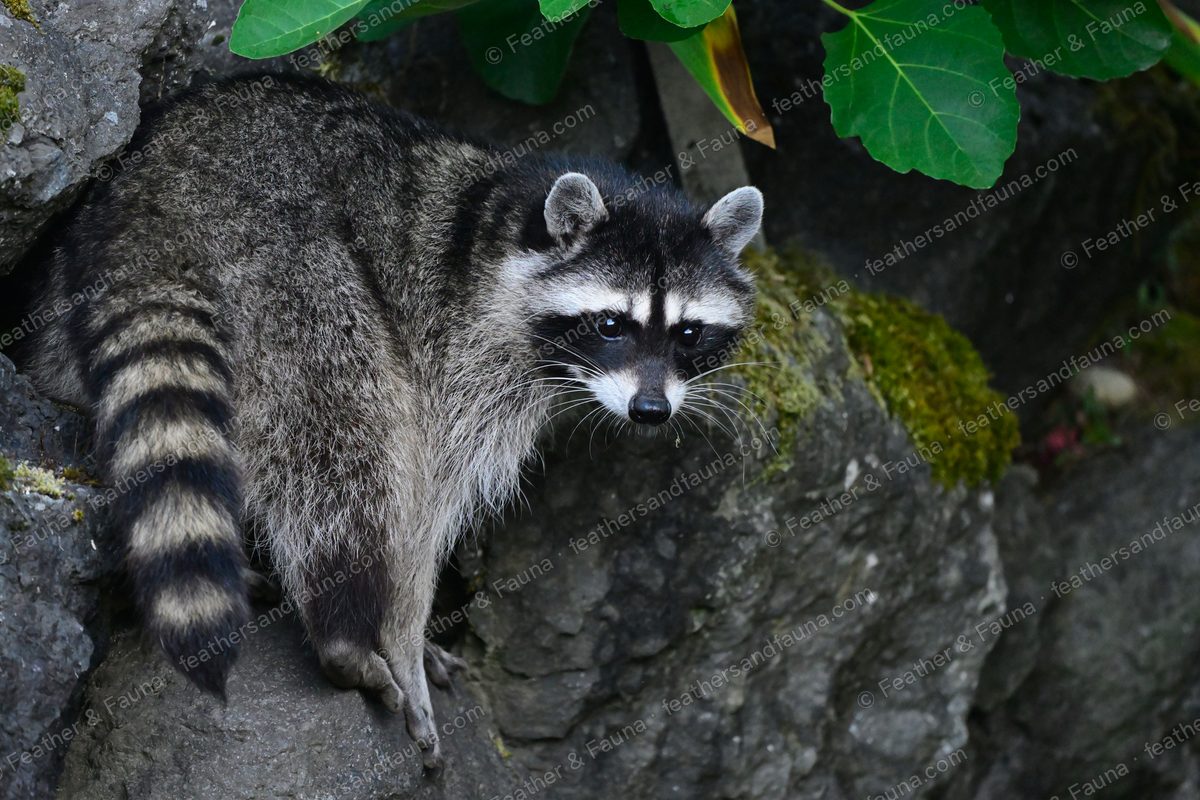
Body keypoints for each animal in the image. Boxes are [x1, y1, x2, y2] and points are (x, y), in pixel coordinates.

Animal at [28, 74, 762, 767]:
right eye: (612, 324)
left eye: (689, 333)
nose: (651, 410)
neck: (506, 219)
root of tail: (154, 197)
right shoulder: (459, 354)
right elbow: (418, 508)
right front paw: (405, 634)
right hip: (291, 273)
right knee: (346, 445)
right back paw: (344, 630)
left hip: (72, 295)